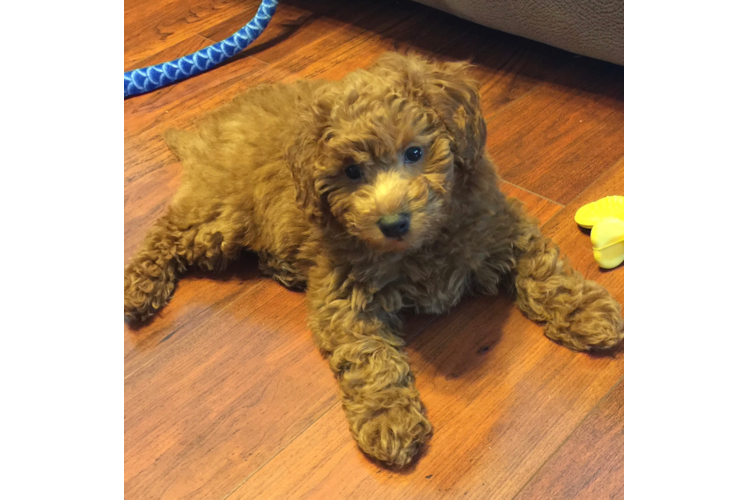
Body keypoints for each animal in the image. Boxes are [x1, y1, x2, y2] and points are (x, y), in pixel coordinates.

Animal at [125, 53, 624, 468]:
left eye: (415, 152)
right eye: (351, 172)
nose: (392, 222)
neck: (423, 243)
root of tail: (206, 131)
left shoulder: (503, 228)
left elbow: (546, 271)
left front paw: (587, 312)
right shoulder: (346, 294)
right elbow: (371, 359)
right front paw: (389, 419)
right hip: (219, 218)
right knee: (166, 233)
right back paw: (137, 289)